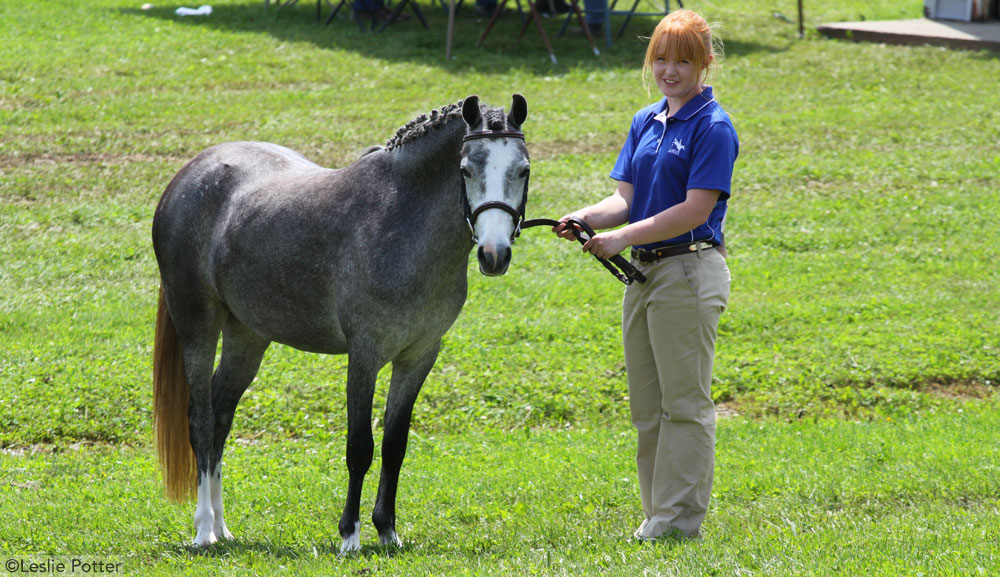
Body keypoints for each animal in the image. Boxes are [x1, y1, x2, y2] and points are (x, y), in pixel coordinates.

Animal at [149, 95, 532, 552]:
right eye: (466, 170)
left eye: (523, 170)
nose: (494, 254)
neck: (401, 220)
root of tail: (188, 176)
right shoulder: (364, 355)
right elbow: (360, 447)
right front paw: (350, 534)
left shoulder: (419, 356)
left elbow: (395, 444)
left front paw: (387, 530)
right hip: (198, 326)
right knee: (202, 421)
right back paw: (205, 528)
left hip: (247, 336)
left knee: (222, 416)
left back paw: (224, 528)